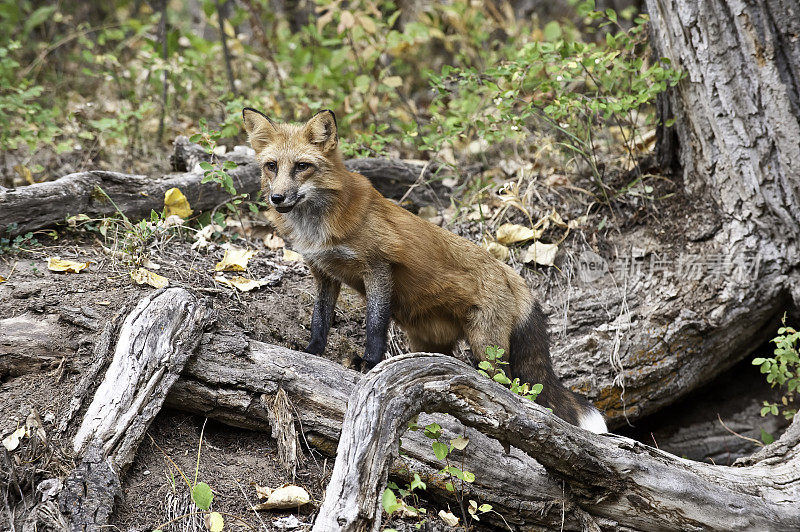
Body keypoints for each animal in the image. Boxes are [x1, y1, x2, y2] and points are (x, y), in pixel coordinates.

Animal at [244, 108, 608, 432]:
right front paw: (312, 354)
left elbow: (375, 326)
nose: (277, 198)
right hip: (429, 345)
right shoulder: (324, 274)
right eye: (272, 166)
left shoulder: (378, 267)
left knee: (511, 391)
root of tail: (511, 273)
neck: (319, 227)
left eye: (302, 166)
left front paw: (370, 364)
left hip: (486, 350)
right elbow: (319, 321)